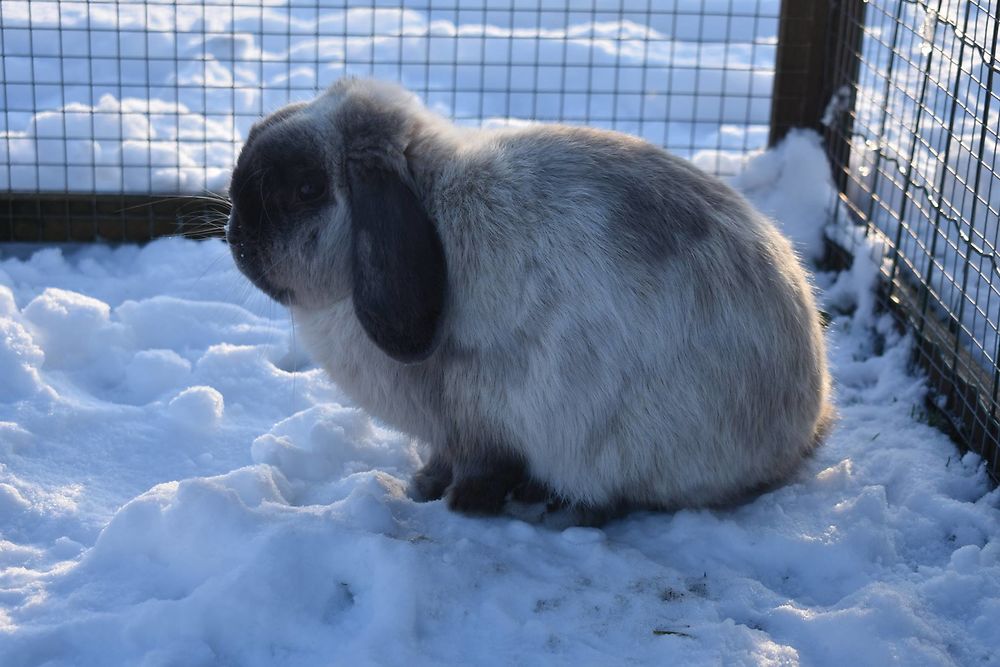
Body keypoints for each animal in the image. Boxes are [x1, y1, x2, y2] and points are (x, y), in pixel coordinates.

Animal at [229, 78, 836, 524]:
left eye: (307, 189)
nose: (235, 235)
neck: (431, 204)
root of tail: (802, 428)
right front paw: (423, 484)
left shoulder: (482, 411)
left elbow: (481, 465)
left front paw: (456, 503)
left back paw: (556, 509)